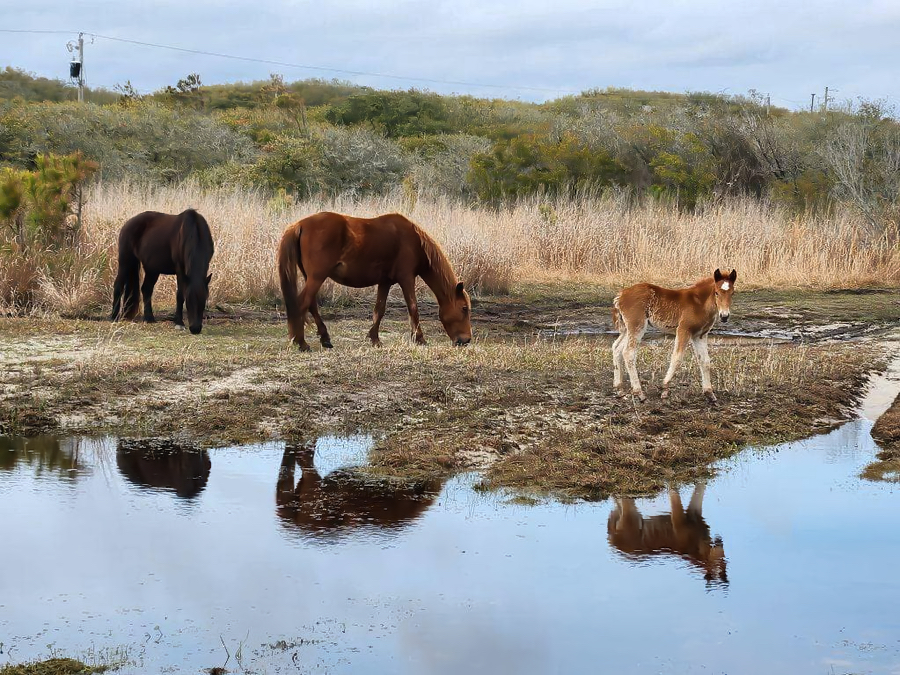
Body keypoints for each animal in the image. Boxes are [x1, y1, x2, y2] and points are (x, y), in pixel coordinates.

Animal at [277, 211, 472, 351]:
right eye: (464, 308)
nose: (466, 340)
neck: (414, 241)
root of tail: (299, 225)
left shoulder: (385, 282)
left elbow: (380, 309)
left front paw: (375, 339)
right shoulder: (407, 278)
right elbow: (413, 308)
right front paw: (420, 339)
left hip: (312, 278)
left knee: (311, 305)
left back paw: (324, 339)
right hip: (317, 277)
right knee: (302, 303)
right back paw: (301, 343)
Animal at [612, 268, 737, 403]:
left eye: (732, 293)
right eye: (716, 293)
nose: (724, 316)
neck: (699, 303)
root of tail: (621, 295)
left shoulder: (700, 335)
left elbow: (705, 361)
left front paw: (709, 393)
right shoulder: (683, 330)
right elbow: (677, 358)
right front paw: (665, 388)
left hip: (627, 329)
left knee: (616, 348)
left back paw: (619, 389)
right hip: (637, 326)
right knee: (628, 352)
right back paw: (639, 392)